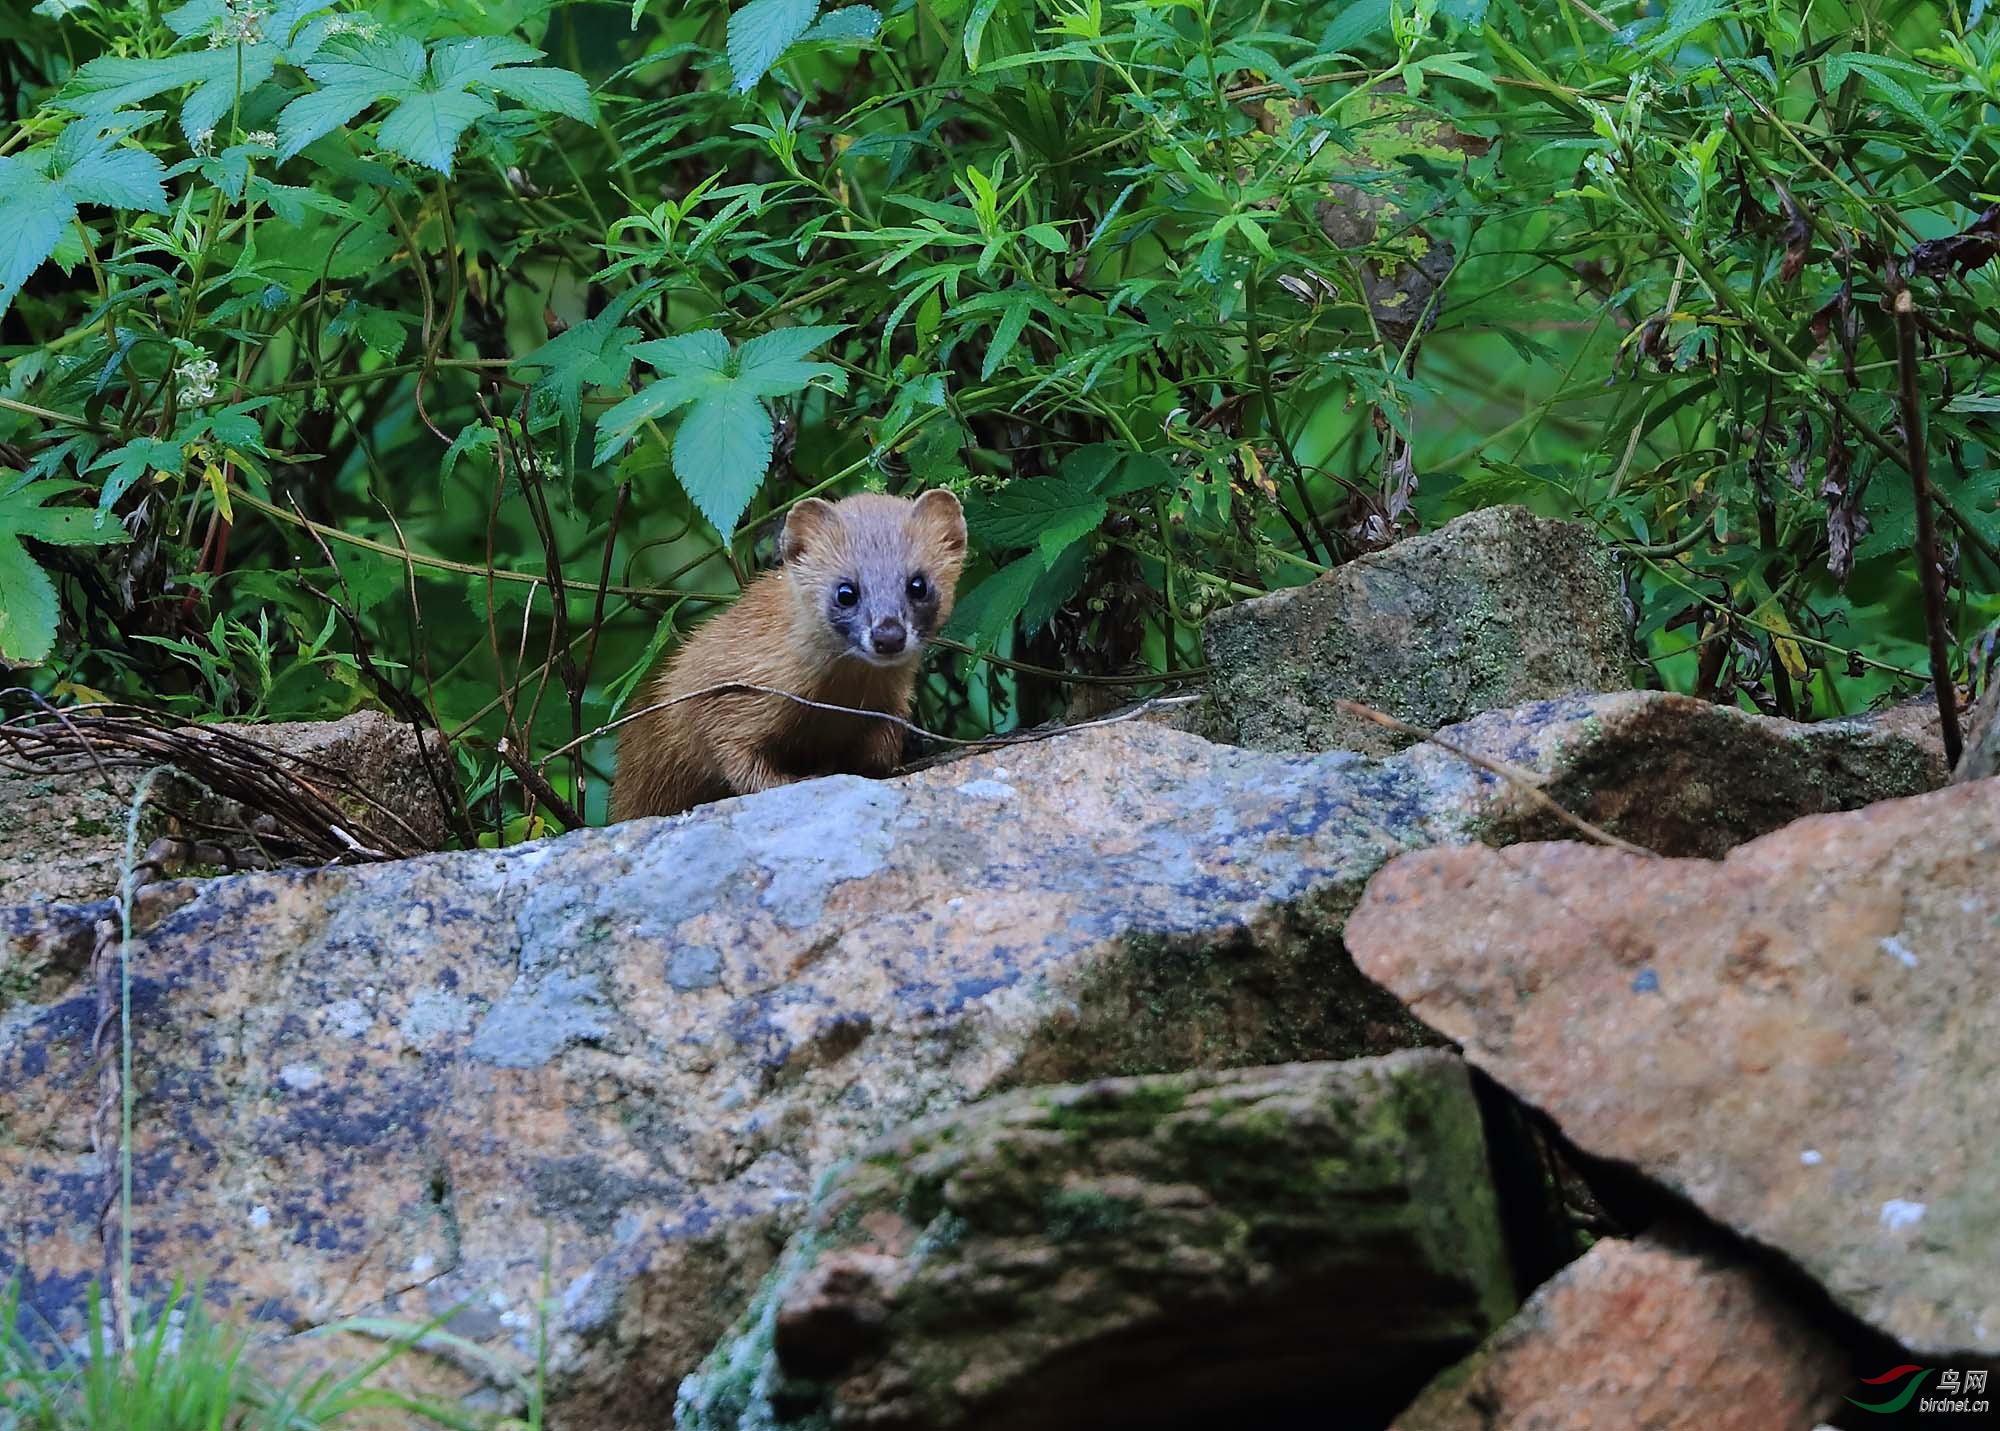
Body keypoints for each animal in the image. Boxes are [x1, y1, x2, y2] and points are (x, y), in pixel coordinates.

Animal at [608, 491, 968, 823]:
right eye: (846, 591)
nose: (888, 635)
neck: (835, 704)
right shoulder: (722, 691)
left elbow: (881, 749)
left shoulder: (892, 705)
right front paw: (795, 778)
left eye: (918, 585)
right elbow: (734, 756)